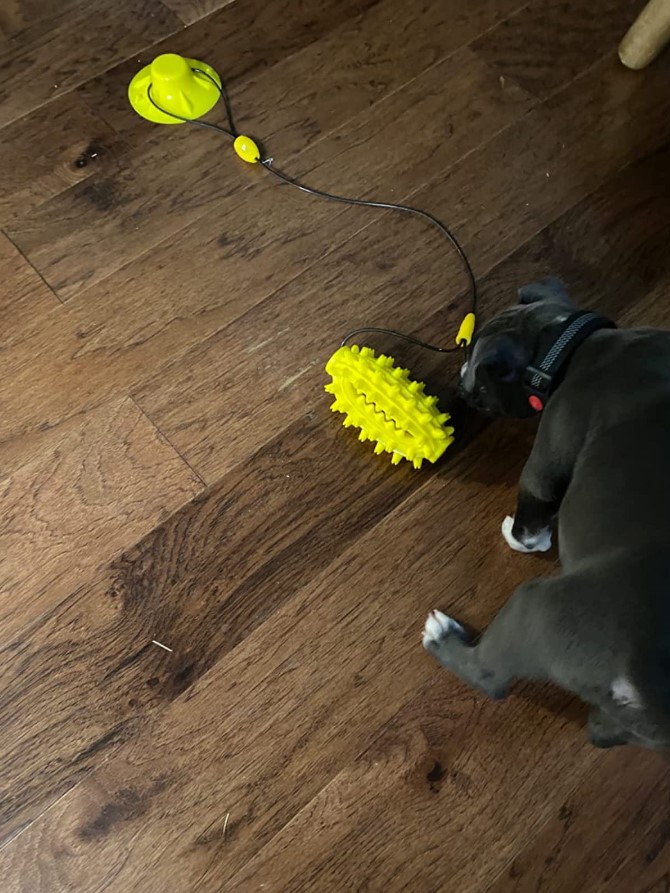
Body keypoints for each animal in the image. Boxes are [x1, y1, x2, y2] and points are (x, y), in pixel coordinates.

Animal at [422, 278, 670, 750]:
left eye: (476, 378)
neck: (568, 342)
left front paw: (518, 536)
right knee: (606, 732)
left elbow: (531, 513)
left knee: (490, 677)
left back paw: (443, 638)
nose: (459, 385)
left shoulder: (547, 455)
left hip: (537, 610)